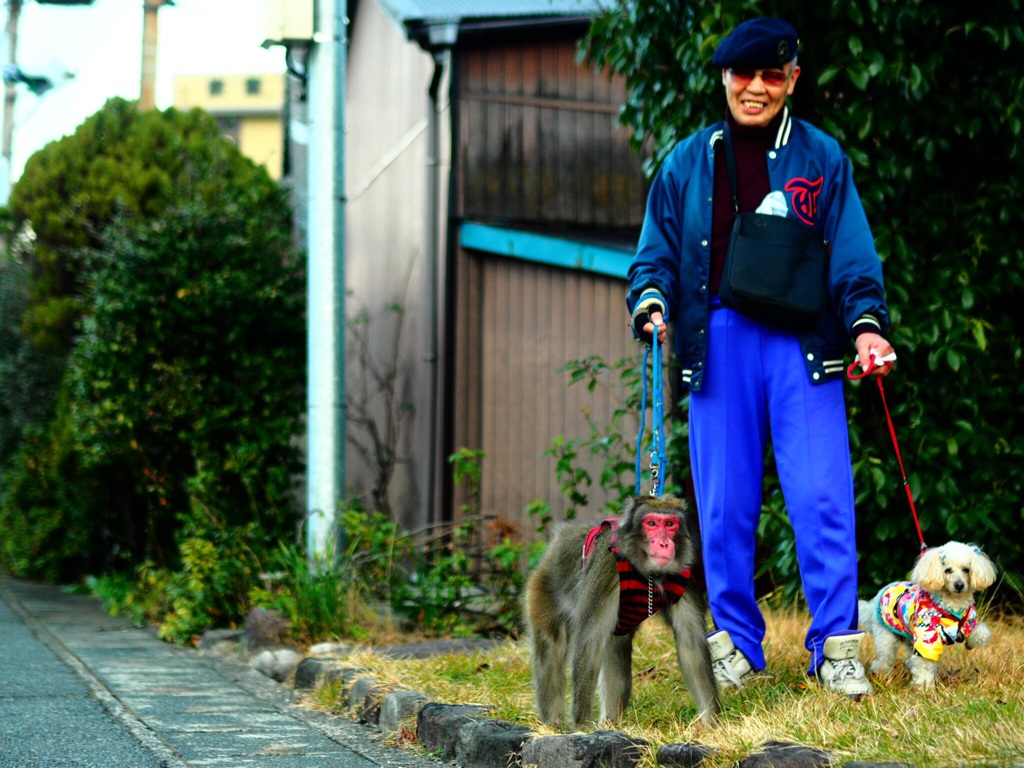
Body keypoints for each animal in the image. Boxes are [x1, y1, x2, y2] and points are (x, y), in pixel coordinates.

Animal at [524, 495, 716, 729]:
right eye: (652, 523)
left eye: (670, 524)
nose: (664, 543)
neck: (648, 573)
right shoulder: (606, 570)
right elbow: (589, 643)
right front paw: (583, 727)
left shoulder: (683, 573)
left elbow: (691, 644)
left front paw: (713, 722)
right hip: (541, 590)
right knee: (551, 647)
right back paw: (553, 722)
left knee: (616, 646)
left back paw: (610, 722)